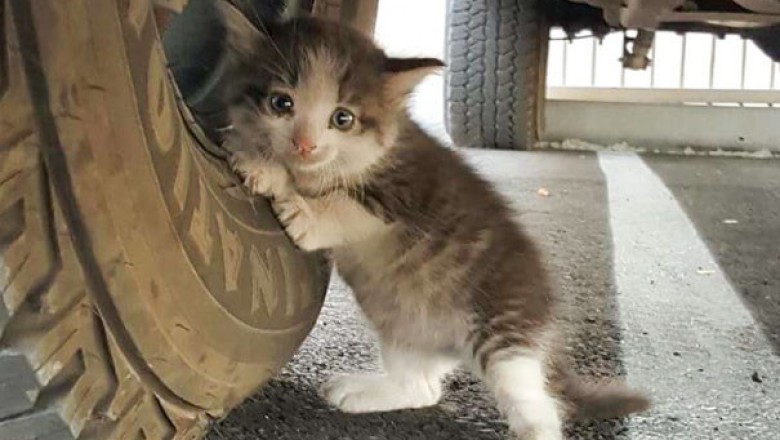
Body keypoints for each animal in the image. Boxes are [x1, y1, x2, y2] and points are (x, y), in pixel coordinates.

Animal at [216, 4, 648, 440]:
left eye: (342, 118)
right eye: (280, 103)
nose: (304, 144)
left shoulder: (409, 192)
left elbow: (344, 204)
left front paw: (295, 199)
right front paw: (260, 160)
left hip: (503, 329)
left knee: (539, 407)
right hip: (405, 329)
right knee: (423, 389)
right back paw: (363, 391)